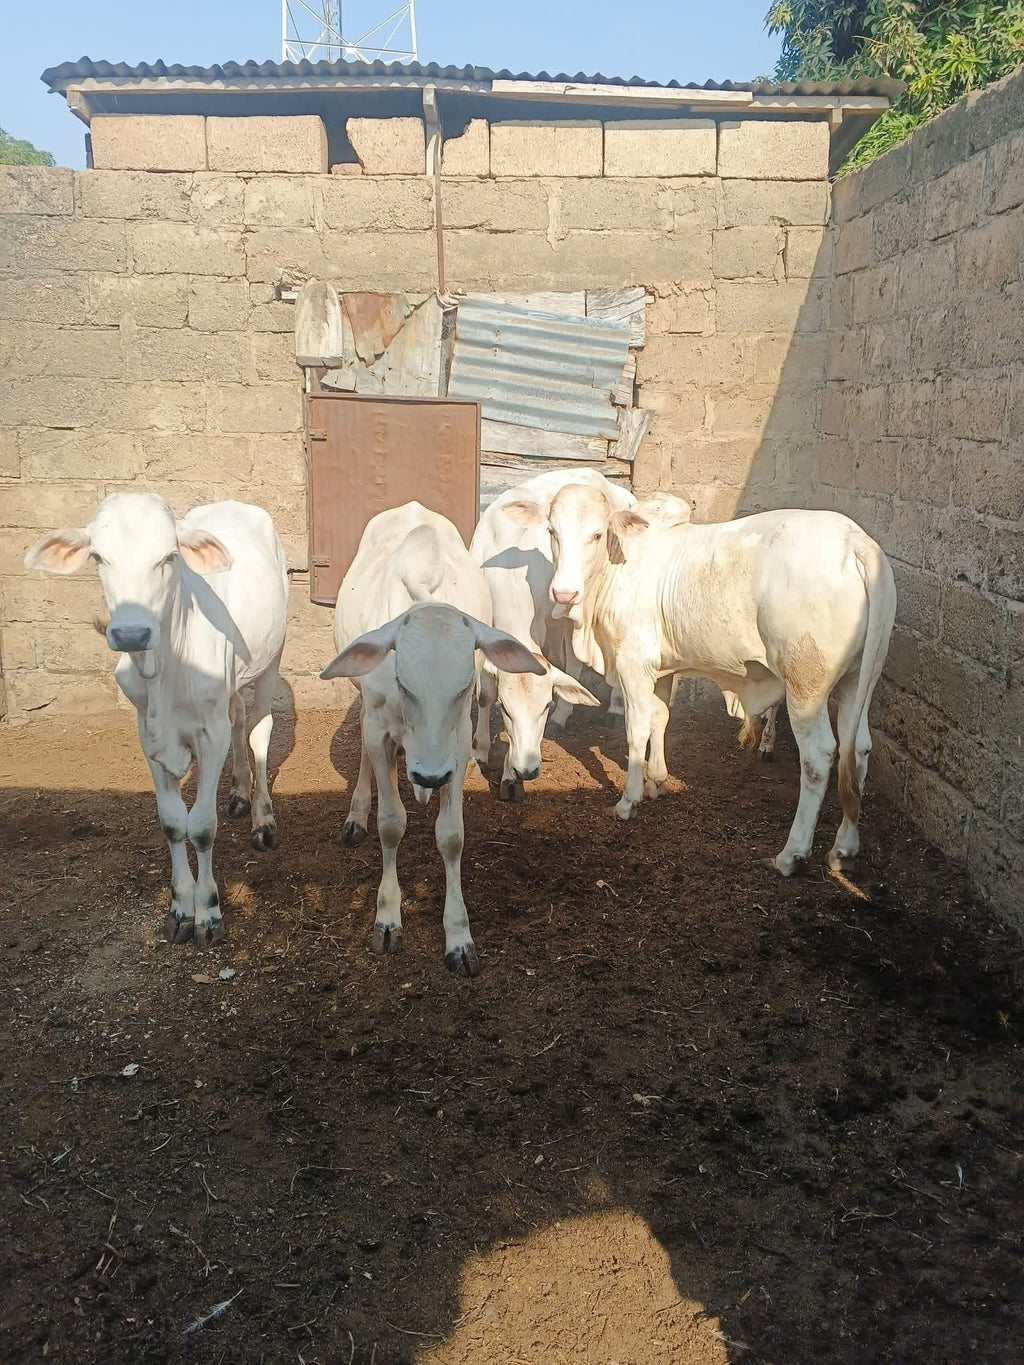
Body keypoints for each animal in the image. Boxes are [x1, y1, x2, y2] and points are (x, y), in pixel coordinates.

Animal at [26, 494, 289, 945]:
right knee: (239, 717)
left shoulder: (209, 734)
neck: (165, 668)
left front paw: (209, 911)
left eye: (169, 556)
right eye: (98, 556)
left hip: (272, 658)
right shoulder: (147, 735)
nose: (131, 633)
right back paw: (238, 794)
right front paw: (181, 907)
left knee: (258, 729)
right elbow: (171, 823)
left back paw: (262, 819)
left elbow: (200, 826)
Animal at [320, 502, 543, 976]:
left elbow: (451, 835)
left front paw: (458, 936)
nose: (429, 776)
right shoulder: (380, 729)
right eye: (404, 682)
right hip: (364, 707)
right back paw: (357, 814)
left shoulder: (456, 747)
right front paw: (387, 918)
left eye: (463, 687)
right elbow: (391, 823)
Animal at [470, 469, 638, 799]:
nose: (526, 770)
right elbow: (484, 694)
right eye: (504, 708)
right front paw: (480, 750)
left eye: (545, 706)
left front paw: (509, 777)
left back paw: (614, 706)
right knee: (573, 662)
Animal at [525, 486, 896, 876]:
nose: (563, 593)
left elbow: (637, 731)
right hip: (858, 681)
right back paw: (844, 849)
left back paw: (790, 854)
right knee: (859, 750)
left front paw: (629, 801)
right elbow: (660, 719)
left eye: (597, 534)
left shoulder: (633, 664)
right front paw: (658, 782)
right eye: (551, 531)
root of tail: (857, 542)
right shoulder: (663, 669)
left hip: (805, 688)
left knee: (819, 756)